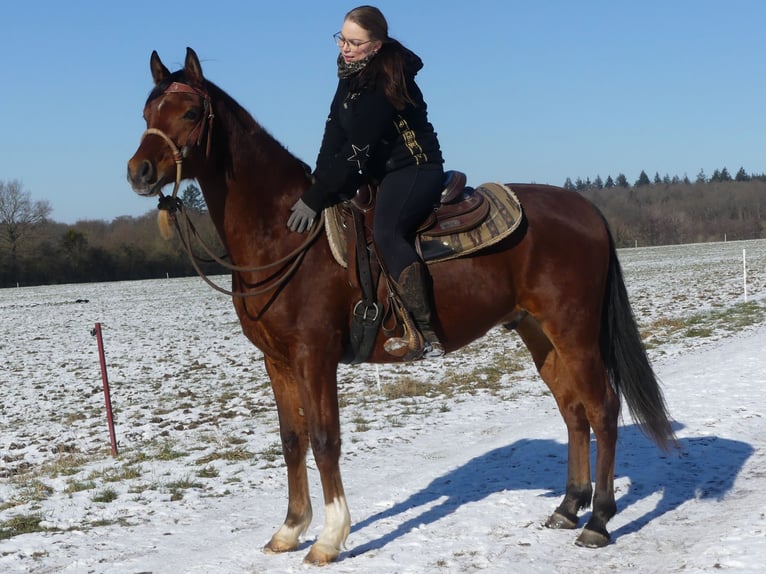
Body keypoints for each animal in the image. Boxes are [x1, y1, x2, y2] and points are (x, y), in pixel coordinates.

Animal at [127, 46, 680, 568]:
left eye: (191, 111)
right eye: (147, 110)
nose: (139, 171)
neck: (284, 233)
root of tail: (586, 210)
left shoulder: (314, 356)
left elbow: (325, 439)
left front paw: (329, 538)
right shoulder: (276, 360)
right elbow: (291, 439)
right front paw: (289, 529)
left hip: (575, 331)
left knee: (603, 408)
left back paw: (599, 521)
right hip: (538, 333)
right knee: (573, 411)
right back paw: (568, 508)